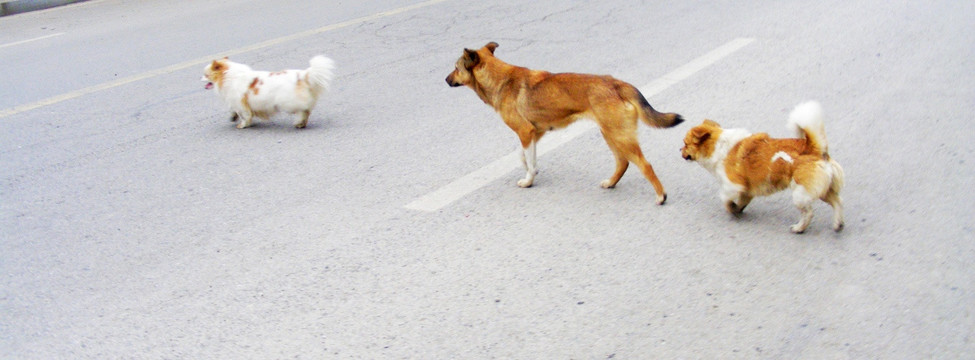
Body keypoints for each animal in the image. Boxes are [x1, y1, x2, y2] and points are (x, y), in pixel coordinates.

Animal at [202, 55, 336, 129]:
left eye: (206, 75)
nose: (200, 78)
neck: (228, 75)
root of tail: (302, 75)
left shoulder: (240, 102)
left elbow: (245, 116)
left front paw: (243, 125)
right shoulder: (235, 102)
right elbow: (234, 111)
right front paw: (233, 117)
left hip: (289, 103)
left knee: (303, 111)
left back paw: (299, 122)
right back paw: (301, 124)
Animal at [446, 41, 684, 205]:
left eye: (456, 68)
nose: (445, 80)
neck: (500, 79)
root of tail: (617, 83)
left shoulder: (525, 131)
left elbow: (528, 159)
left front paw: (528, 180)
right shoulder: (535, 132)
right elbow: (524, 156)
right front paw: (530, 170)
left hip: (619, 135)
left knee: (644, 165)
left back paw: (661, 196)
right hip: (610, 133)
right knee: (623, 162)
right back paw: (611, 183)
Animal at [680, 101, 848, 233]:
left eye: (685, 144)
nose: (680, 150)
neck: (718, 146)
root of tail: (814, 148)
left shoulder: (732, 185)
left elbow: (725, 199)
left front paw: (732, 208)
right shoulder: (746, 190)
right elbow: (741, 201)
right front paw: (738, 209)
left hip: (801, 193)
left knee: (808, 213)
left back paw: (799, 228)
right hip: (823, 190)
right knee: (838, 202)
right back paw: (838, 224)